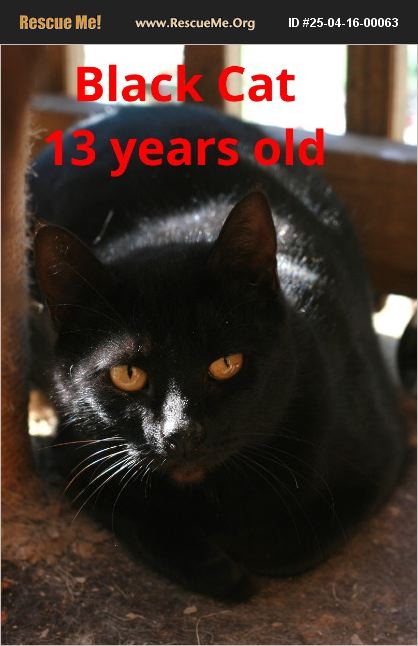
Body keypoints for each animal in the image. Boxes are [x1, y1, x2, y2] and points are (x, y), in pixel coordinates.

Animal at [29, 104, 406, 600]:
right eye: (127, 374)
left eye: (226, 364)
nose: (181, 432)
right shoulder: (72, 455)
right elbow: (132, 511)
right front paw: (214, 565)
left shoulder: (380, 456)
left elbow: (286, 545)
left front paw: (240, 547)